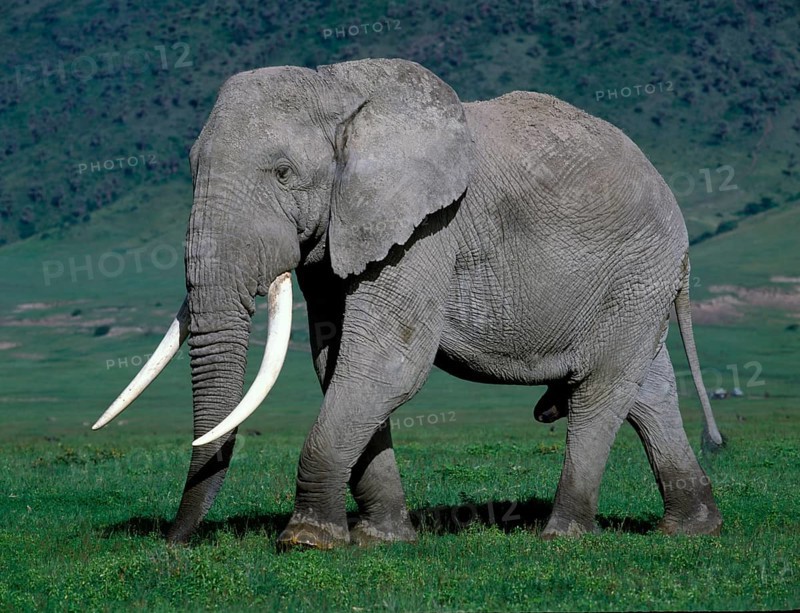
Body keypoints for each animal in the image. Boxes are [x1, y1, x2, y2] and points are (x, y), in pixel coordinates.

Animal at [93, 58, 724, 548]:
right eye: (190, 168)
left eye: (283, 173)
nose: (173, 541)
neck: (339, 89)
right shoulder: (342, 230)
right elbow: (336, 362)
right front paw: (381, 540)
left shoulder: (427, 227)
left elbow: (386, 363)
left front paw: (307, 542)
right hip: (639, 284)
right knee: (646, 391)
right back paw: (691, 530)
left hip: (638, 271)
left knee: (601, 389)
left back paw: (563, 536)